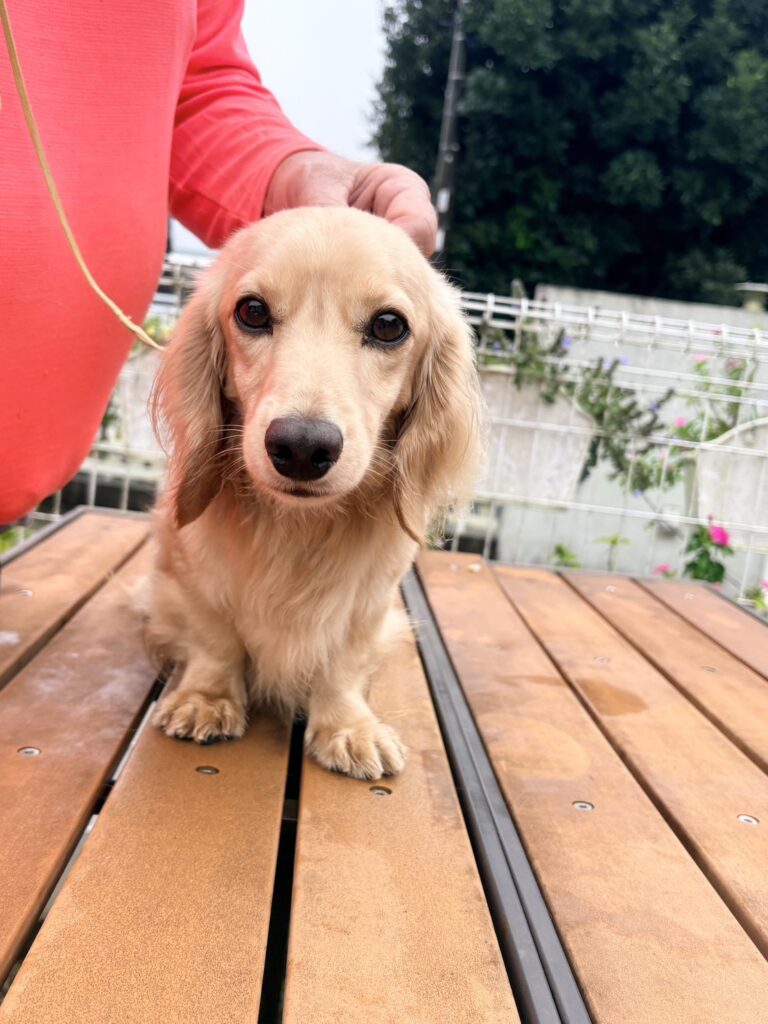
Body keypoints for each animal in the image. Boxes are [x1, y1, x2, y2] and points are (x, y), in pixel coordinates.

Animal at [144, 206, 481, 780]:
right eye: (252, 311)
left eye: (389, 325)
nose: (301, 447)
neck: (296, 529)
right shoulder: (192, 573)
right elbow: (215, 637)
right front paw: (207, 698)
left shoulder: (370, 603)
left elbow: (343, 662)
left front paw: (347, 726)